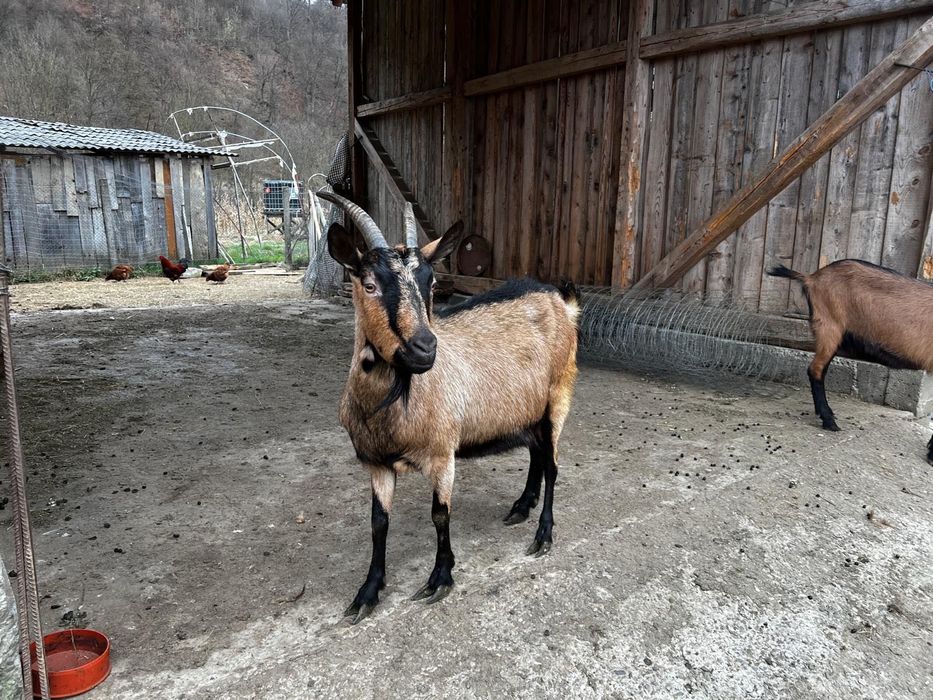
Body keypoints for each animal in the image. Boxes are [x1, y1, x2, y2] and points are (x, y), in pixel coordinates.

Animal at [318, 191, 579, 624]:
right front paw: (367, 593)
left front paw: (440, 578)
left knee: (553, 465)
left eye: (433, 283)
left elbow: (440, 514)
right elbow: (378, 522)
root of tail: (561, 300)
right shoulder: (376, 462)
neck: (396, 403)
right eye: (369, 284)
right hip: (526, 410)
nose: (425, 348)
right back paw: (521, 507)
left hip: (558, 395)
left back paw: (543, 535)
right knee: (538, 455)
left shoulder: (442, 453)